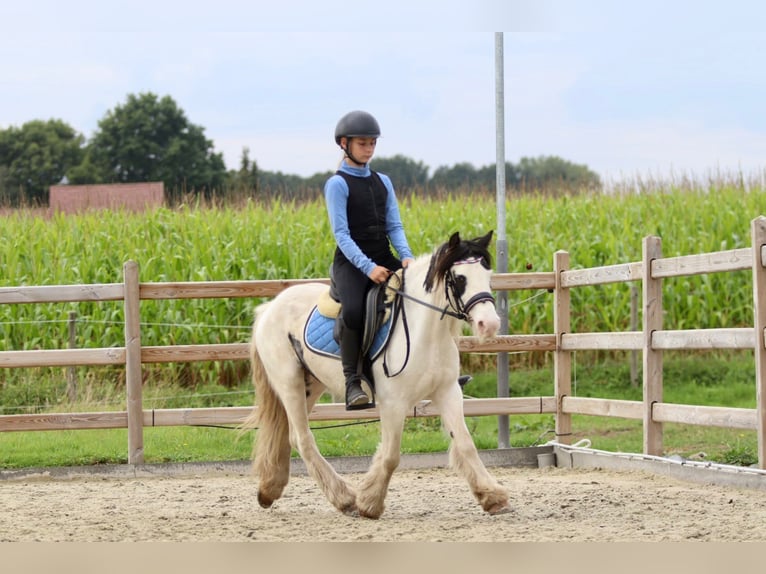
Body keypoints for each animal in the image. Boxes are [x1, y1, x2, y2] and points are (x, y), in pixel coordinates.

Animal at [243, 232, 512, 520]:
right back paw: (344, 498)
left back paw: (271, 489)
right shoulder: (394, 403)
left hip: (311, 384)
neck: (425, 332)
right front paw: (369, 503)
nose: (489, 325)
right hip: (288, 382)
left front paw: (492, 497)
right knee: (302, 439)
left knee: (288, 434)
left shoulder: (448, 392)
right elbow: (392, 455)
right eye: (460, 278)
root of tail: (269, 308)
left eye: (487, 274)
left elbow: (465, 443)